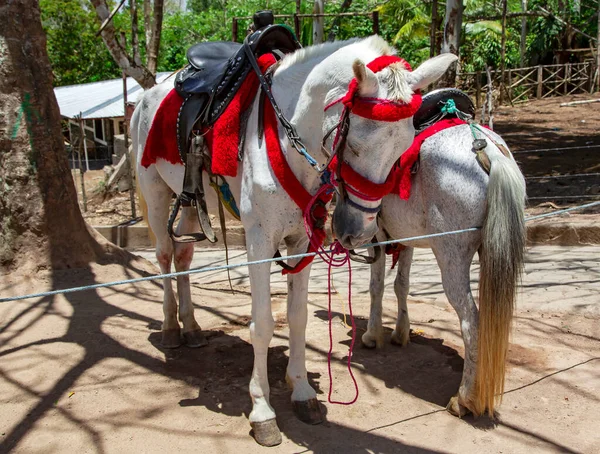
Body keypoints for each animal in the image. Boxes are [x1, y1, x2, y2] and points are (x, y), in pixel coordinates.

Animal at [134, 36, 458, 446]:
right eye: (354, 146)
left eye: (404, 149)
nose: (357, 231)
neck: (287, 138)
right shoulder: (258, 244)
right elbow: (262, 324)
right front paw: (262, 410)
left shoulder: (303, 241)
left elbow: (298, 317)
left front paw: (302, 391)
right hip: (156, 196)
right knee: (164, 256)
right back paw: (171, 329)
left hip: (190, 202)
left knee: (184, 257)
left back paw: (191, 326)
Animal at [360, 123, 524, 418]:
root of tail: (489, 152)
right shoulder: (404, 237)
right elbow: (401, 285)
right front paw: (400, 333)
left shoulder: (376, 235)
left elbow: (376, 286)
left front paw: (372, 335)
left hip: (451, 256)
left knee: (471, 321)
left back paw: (465, 399)